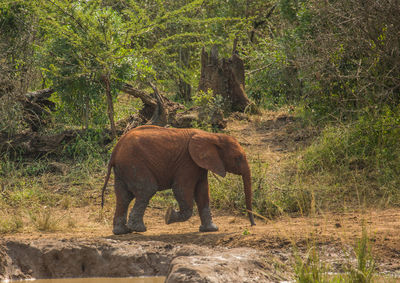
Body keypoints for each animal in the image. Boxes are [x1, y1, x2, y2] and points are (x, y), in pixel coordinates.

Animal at [101, 126, 255, 235]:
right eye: (238, 158)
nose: (252, 225)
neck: (212, 136)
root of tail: (115, 150)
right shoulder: (187, 162)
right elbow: (181, 189)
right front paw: (168, 216)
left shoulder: (198, 164)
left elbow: (203, 192)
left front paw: (211, 229)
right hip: (134, 163)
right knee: (147, 190)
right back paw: (139, 229)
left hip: (123, 169)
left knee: (123, 197)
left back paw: (122, 232)